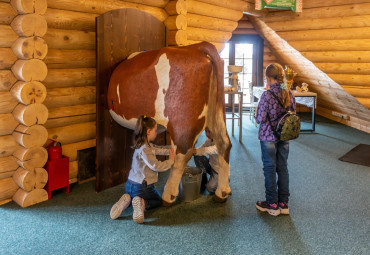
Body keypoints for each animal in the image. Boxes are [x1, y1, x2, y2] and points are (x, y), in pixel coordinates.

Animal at [107, 42, 231, 205]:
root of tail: (197, 47)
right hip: (217, 113)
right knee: (223, 144)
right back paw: (222, 192)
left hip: (181, 121)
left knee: (182, 153)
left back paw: (168, 195)